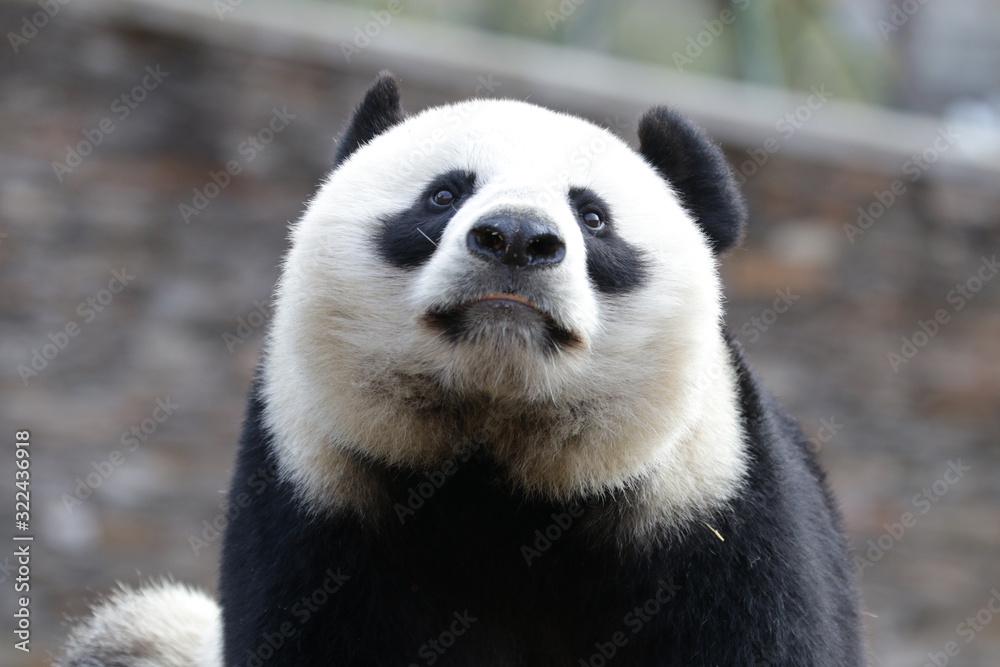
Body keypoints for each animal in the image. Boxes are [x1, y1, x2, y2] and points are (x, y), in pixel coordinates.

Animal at [59, 73, 864, 666]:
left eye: (593, 217)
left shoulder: (712, 517)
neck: (494, 451)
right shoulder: (313, 504)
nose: (516, 239)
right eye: (444, 193)